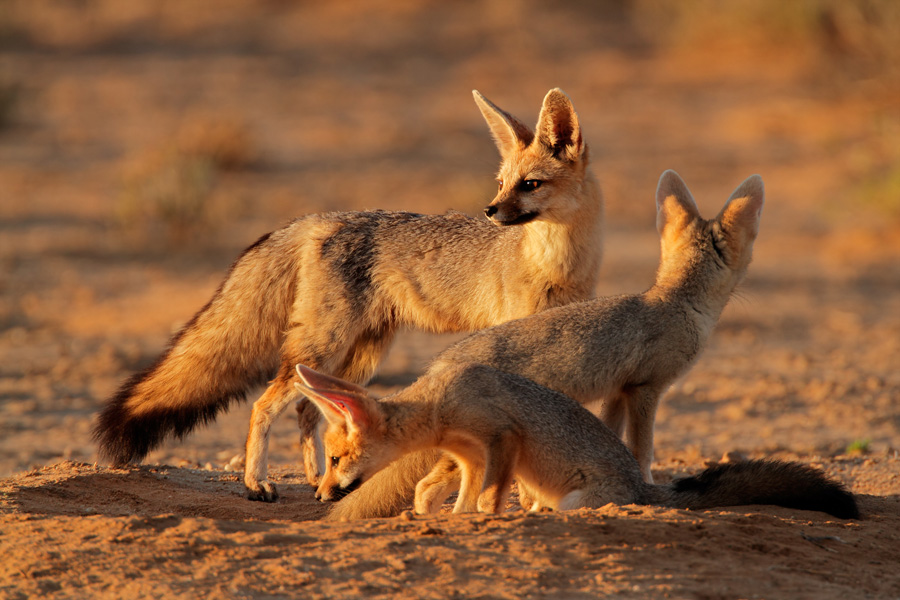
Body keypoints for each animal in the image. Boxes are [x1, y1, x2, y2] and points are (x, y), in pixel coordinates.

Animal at [93, 86, 604, 500]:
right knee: (267, 405)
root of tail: (320, 219)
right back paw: (257, 483)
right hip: (326, 346)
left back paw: (315, 479)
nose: (490, 211)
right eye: (501, 183)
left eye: (530, 184)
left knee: (309, 408)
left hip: (359, 355)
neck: (557, 262)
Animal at [294, 364, 856, 524]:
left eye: (336, 460)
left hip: (573, 500)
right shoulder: (470, 455)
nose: (320, 494)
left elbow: (487, 496)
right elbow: (451, 494)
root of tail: (644, 488)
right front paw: (448, 516)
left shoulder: (502, 437)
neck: (439, 401)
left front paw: (483, 517)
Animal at [326, 170, 768, 520]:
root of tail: (445, 359)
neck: (675, 301)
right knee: (428, 486)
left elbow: (610, 439)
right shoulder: (646, 390)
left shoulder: (617, 392)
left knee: (427, 487)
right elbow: (642, 452)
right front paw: (647, 492)